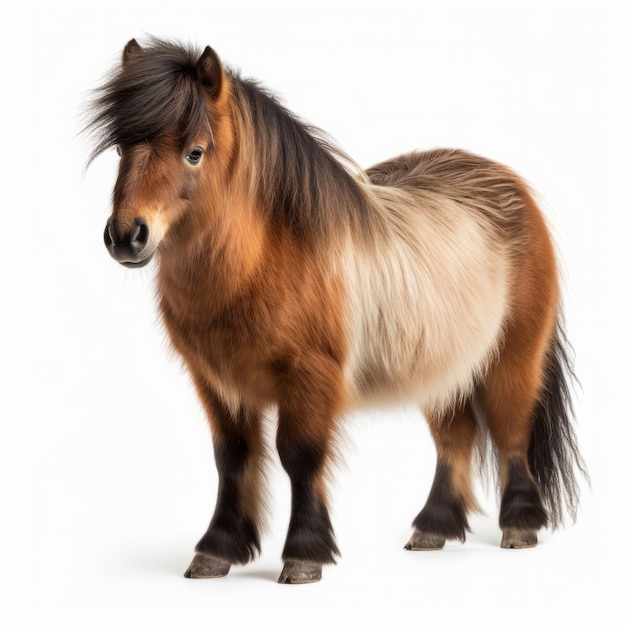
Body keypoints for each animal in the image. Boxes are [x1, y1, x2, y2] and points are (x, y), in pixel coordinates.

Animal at [86, 37, 584, 584]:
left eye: (194, 151)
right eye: (121, 149)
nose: (126, 237)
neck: (268, 259)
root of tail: (509, 184)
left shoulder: (310, 377)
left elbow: (299, 457)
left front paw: (304, 555)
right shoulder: (217, 381)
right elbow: (232, 458)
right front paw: (217, 551)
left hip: (514, 358)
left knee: (512, 430)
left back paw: (519, 526)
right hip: (442, 370)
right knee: (456, 437)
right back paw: (433, 528)